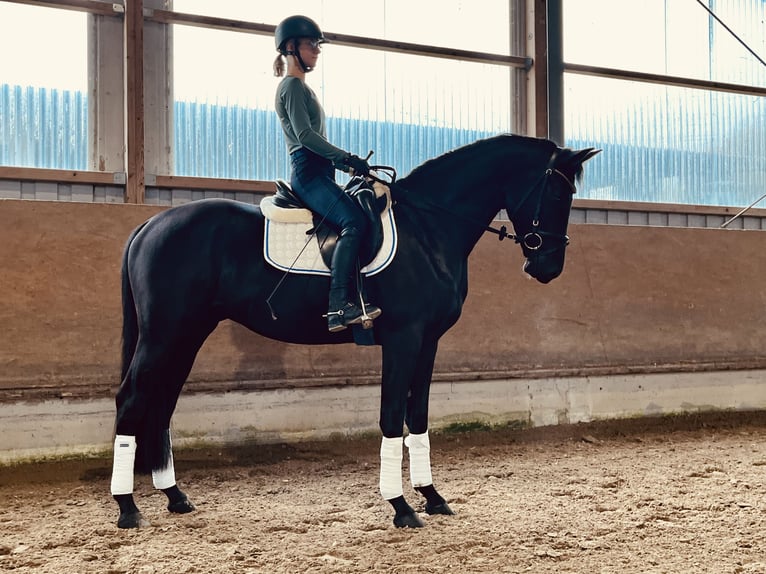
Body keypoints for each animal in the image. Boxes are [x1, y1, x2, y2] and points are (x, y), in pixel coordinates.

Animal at [109, 135, 600, 532]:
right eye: (558, 191)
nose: (547, 266)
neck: (428, 229)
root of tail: (150, 225)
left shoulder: (429, 343)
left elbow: (418, 417)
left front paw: (432, 497)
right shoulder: (403, 339)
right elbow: (391, 417)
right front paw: (401, 507)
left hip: (186, 335)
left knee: (161, 402)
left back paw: (175, 497)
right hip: (165, 335)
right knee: (132, 400)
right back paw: (128, 508)